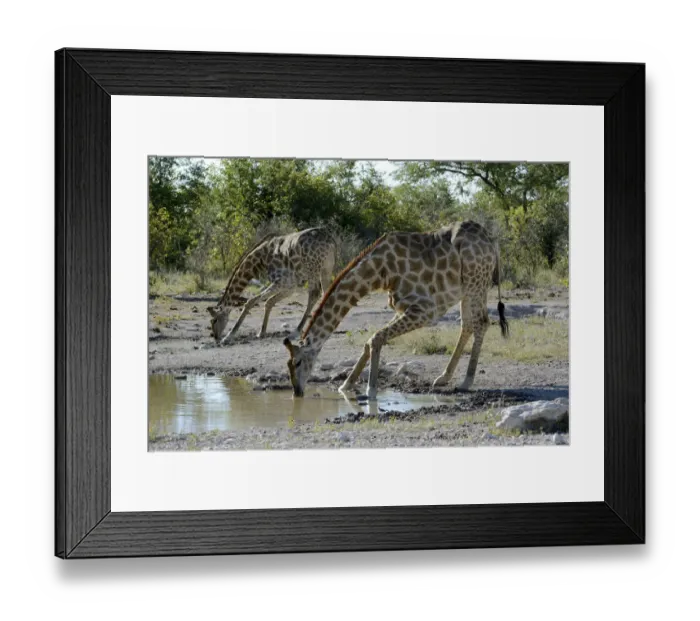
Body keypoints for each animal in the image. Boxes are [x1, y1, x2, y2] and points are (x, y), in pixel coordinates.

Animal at [208, 227, 337, 344]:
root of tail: (330, 241)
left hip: (313, 269)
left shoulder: (283, 281)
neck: (260, 260)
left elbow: (250, 301)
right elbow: (269, 302)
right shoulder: (291, 286)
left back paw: (295, 332)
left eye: (214, 320)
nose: (216, 337)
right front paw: (261, 332)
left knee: (314, 294)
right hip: (326, 268)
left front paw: (228, 337)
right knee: (326, 292)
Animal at [283, 221, 509, 398]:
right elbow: (370, 341)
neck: (380, 273)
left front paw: (370, 390)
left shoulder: (425, 310)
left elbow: (376, 338)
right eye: (289, 365)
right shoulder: (402, 308)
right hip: (467, 289)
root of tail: (491, 240)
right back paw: (444, 378)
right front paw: (346, 385)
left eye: (297, 362)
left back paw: (466, 381)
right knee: (468, 325)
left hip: (476, 282)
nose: (297, 392)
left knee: (481, 322)